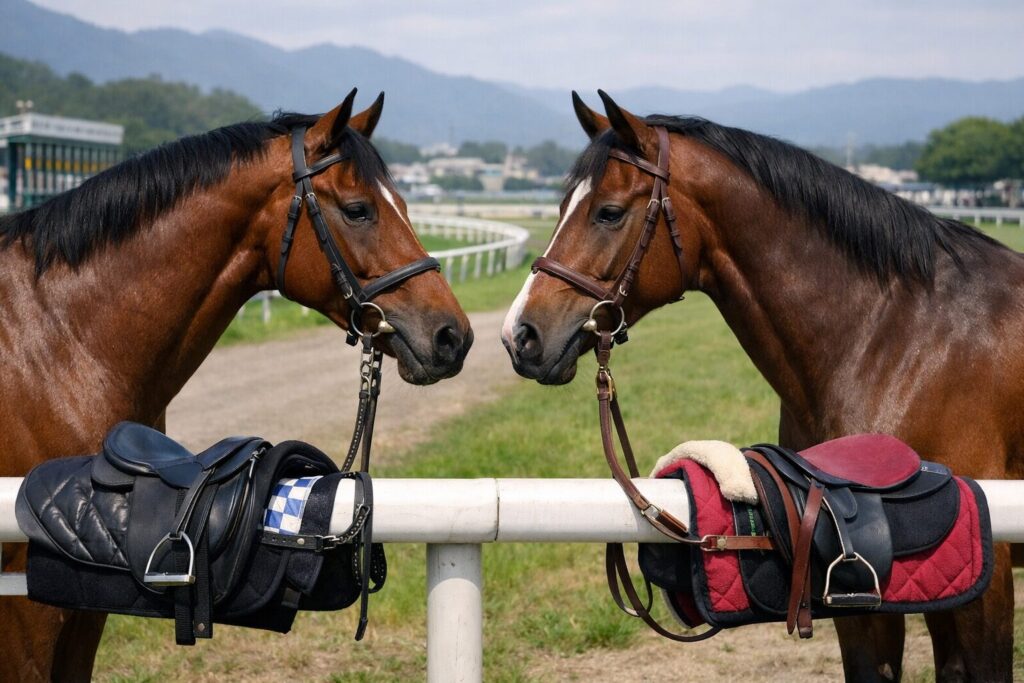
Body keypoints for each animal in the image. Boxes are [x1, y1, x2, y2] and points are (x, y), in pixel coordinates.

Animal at [0, 88, 472, 681]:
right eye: (358, 209)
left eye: (406, 205)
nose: (453, 335)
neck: (57, 341)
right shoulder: (27, 606)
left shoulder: (81, 603)